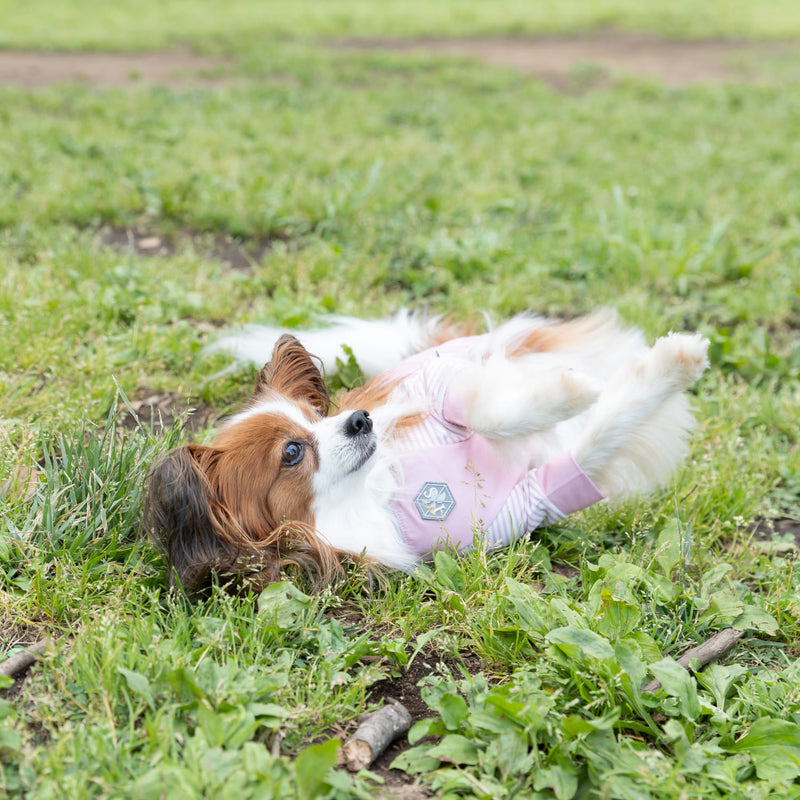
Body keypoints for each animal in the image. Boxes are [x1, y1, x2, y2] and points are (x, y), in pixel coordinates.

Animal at [142, 310, 708, 592]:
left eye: (316, 416)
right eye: (293, 453)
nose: (360, 418)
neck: (383, 495)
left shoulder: (439, 384)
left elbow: (488, 408)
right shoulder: (540, 496)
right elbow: (605, 429)